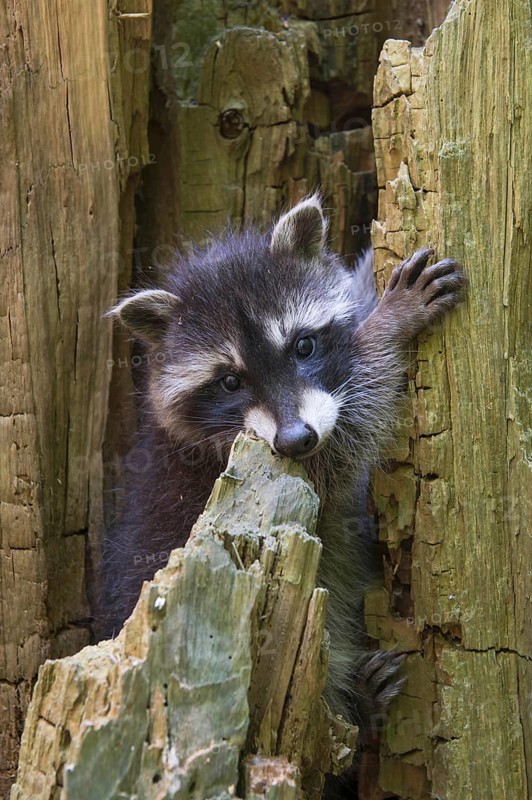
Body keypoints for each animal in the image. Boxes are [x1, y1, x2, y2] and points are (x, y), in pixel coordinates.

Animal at [102, 194, 467, 739]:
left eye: (303, 346)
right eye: (230, 381)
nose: (296, 439)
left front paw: (366, 285)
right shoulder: (229, 468)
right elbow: (344, 441)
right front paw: (387, 326)